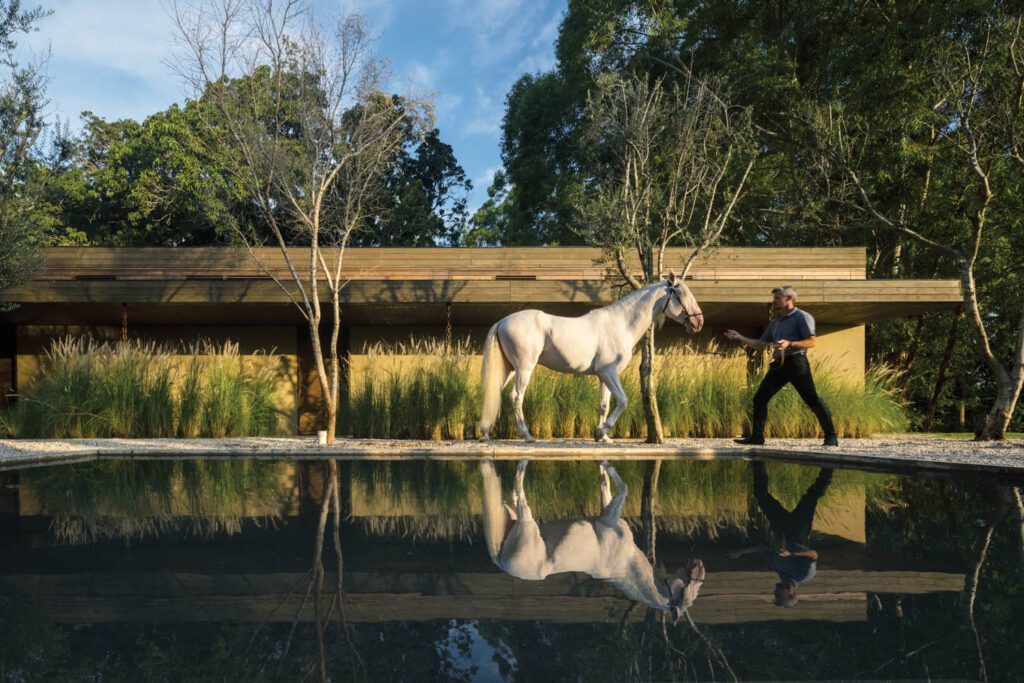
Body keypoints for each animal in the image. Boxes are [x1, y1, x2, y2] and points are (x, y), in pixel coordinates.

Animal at [477, 458, 704, 618]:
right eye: (688, 592)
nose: (700, 565)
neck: (625, 561)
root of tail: (502, 562)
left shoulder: (607, 510)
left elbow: (606, 488)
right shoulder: (609, 518)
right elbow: (624, 488)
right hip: (526, 520)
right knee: (519, 491)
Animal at [479, 270, 704, 446]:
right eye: (681, 294)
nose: (698, 323)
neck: (621, 324)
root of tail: (502, 321)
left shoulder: (603, 376)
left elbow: (604, 405)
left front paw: (603, 438)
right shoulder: (608, 372)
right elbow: (623, 400)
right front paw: (601, 432)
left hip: (509, 369)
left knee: (494, 392)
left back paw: (485, 433)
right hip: (524, 368)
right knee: (516, 397)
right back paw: (527, 436)